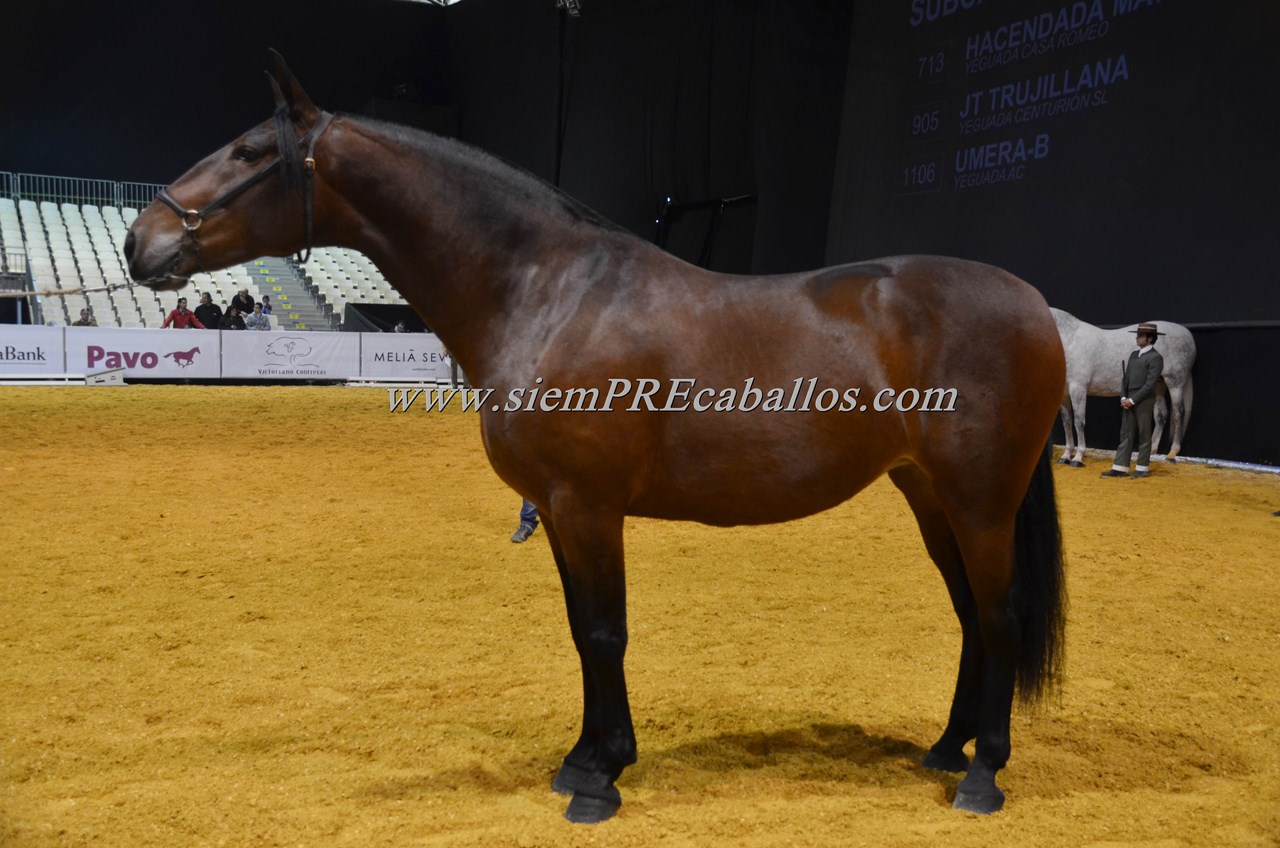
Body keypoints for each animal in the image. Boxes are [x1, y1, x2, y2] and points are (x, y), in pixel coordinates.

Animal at [124, 51, 1064, 824]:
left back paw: (983, 777)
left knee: (1001, 615)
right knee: (971, 616)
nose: (141, 241)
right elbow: (582, 632)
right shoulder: (557, 511)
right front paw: (582, 760)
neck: (548, 293)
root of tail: (1032, 303)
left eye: (250, 152)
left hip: (981, 501)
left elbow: (606, 633)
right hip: (929, 494)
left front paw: (603, 779)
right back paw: (945, 750)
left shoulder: (587, 506)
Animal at [1049, 307, 1198, 466]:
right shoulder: (1064, 393)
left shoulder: (1078, 388)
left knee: (1178, 414)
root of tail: (1186, 333)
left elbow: (1078, 421)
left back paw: (1172, 453)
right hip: (1158, 384)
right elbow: (1067, 422)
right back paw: (1151, 450)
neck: (1071, 341)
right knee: (1161, 415)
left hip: (1175, 383)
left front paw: (1078, 457)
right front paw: (1066, 455)